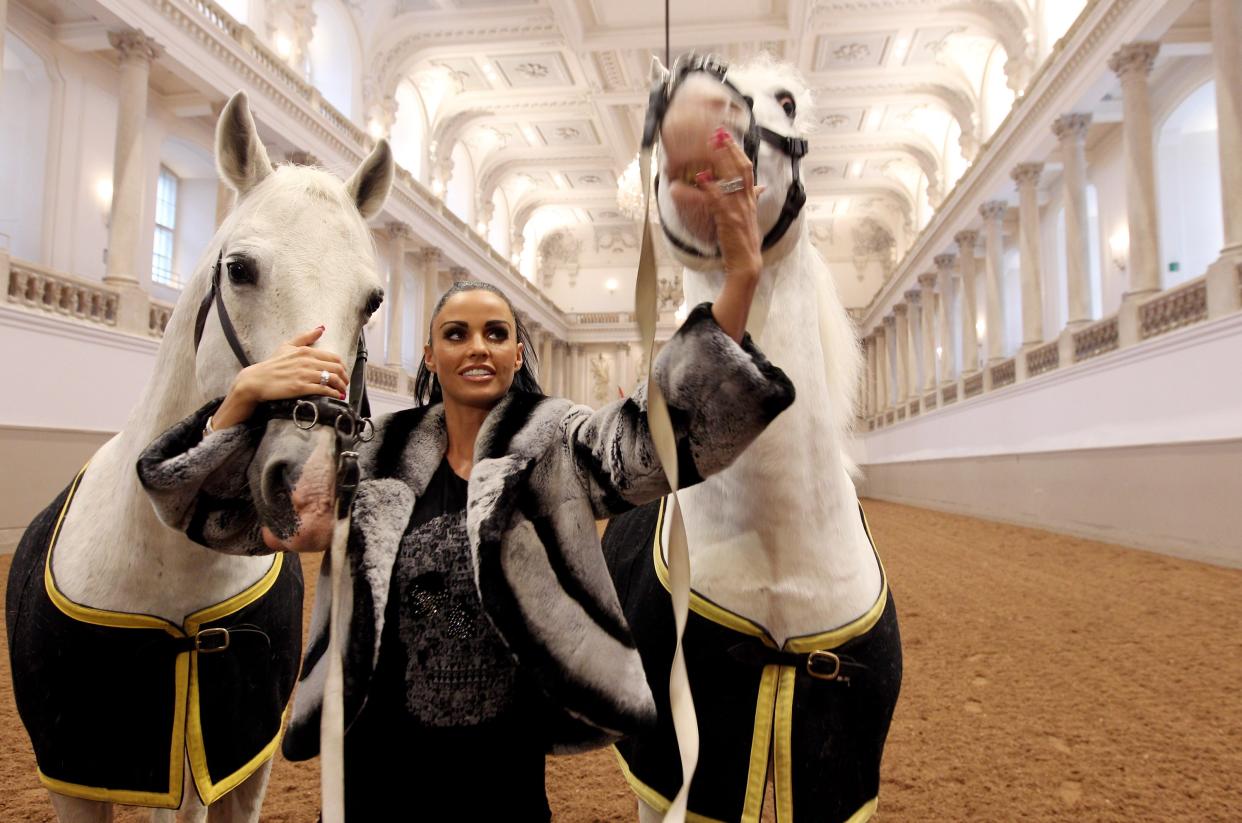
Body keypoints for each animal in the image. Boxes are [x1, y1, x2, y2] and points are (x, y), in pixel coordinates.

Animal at [6, 93, 392, 819]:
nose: (309, 488)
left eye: (373, 300)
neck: (174, 568)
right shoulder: (73, 777)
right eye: (239, 268)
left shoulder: (245, 760)